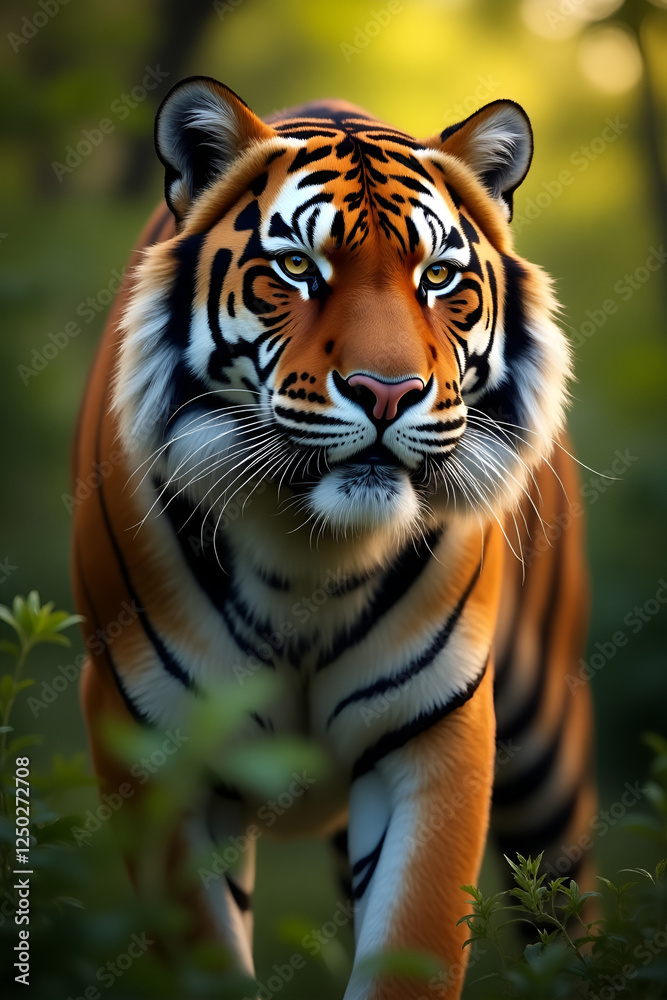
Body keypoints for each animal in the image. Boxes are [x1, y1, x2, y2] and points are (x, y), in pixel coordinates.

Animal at [71, 76, 594, 999]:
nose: (386, 392)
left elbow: (413, 947)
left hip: (544, 746)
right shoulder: (151, 743)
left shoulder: (434, 730)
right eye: (296, 269)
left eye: (439, 278)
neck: (310, 554)